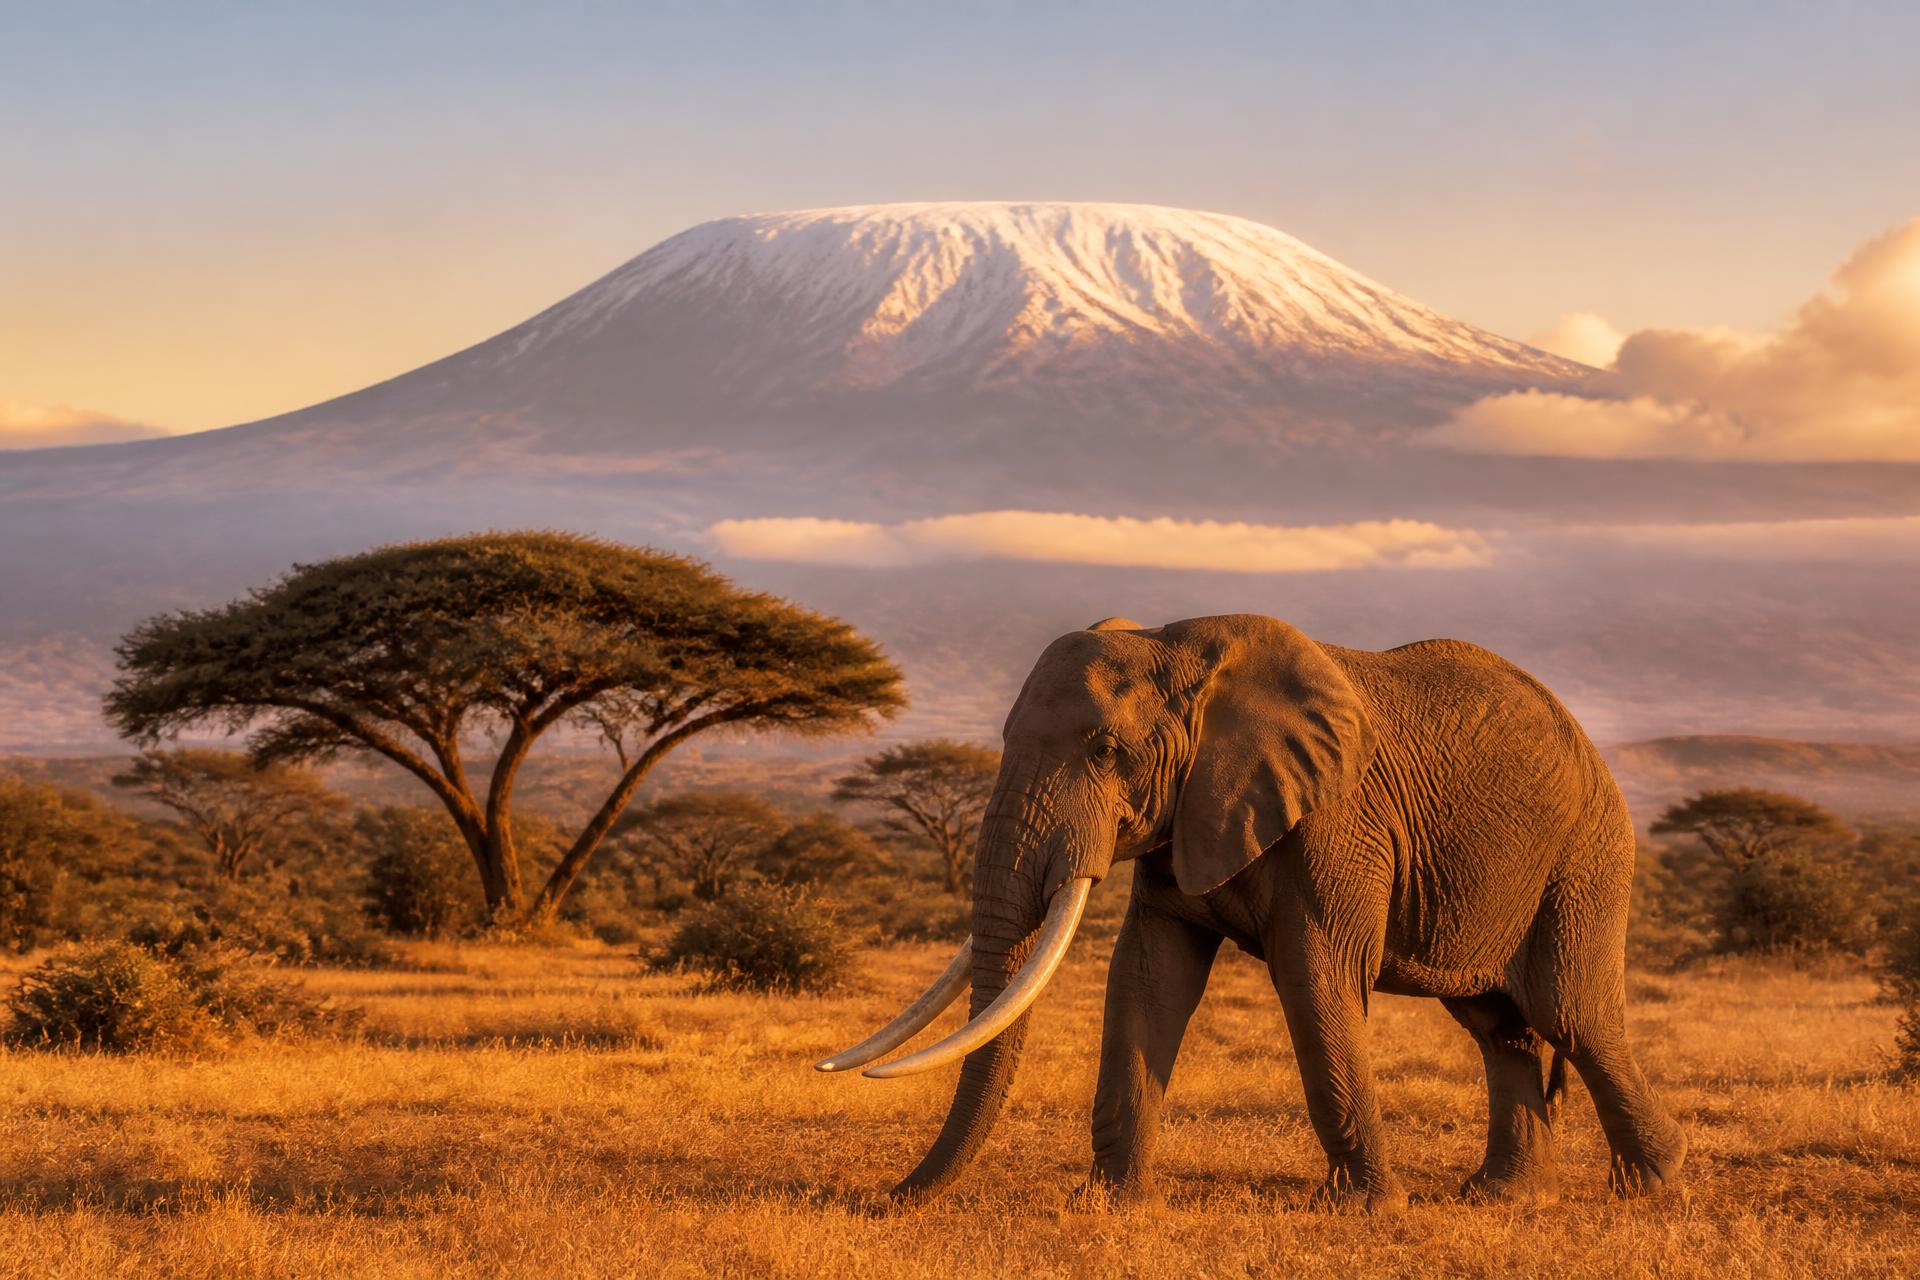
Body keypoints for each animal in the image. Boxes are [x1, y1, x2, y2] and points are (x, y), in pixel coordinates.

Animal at [817, 613, 1686, 1210]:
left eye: (1104, 751)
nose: (884, 1200)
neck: (1178, 650)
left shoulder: (1338, 818)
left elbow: (1316, 975)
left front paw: (1368, 1211)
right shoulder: (1187, 814)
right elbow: (1148, 976)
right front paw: (1112, 1205)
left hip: (1586, 856)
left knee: (1570, 1012)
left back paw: (1656, 1185)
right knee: (1499, 1025)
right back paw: (1500, 1196)